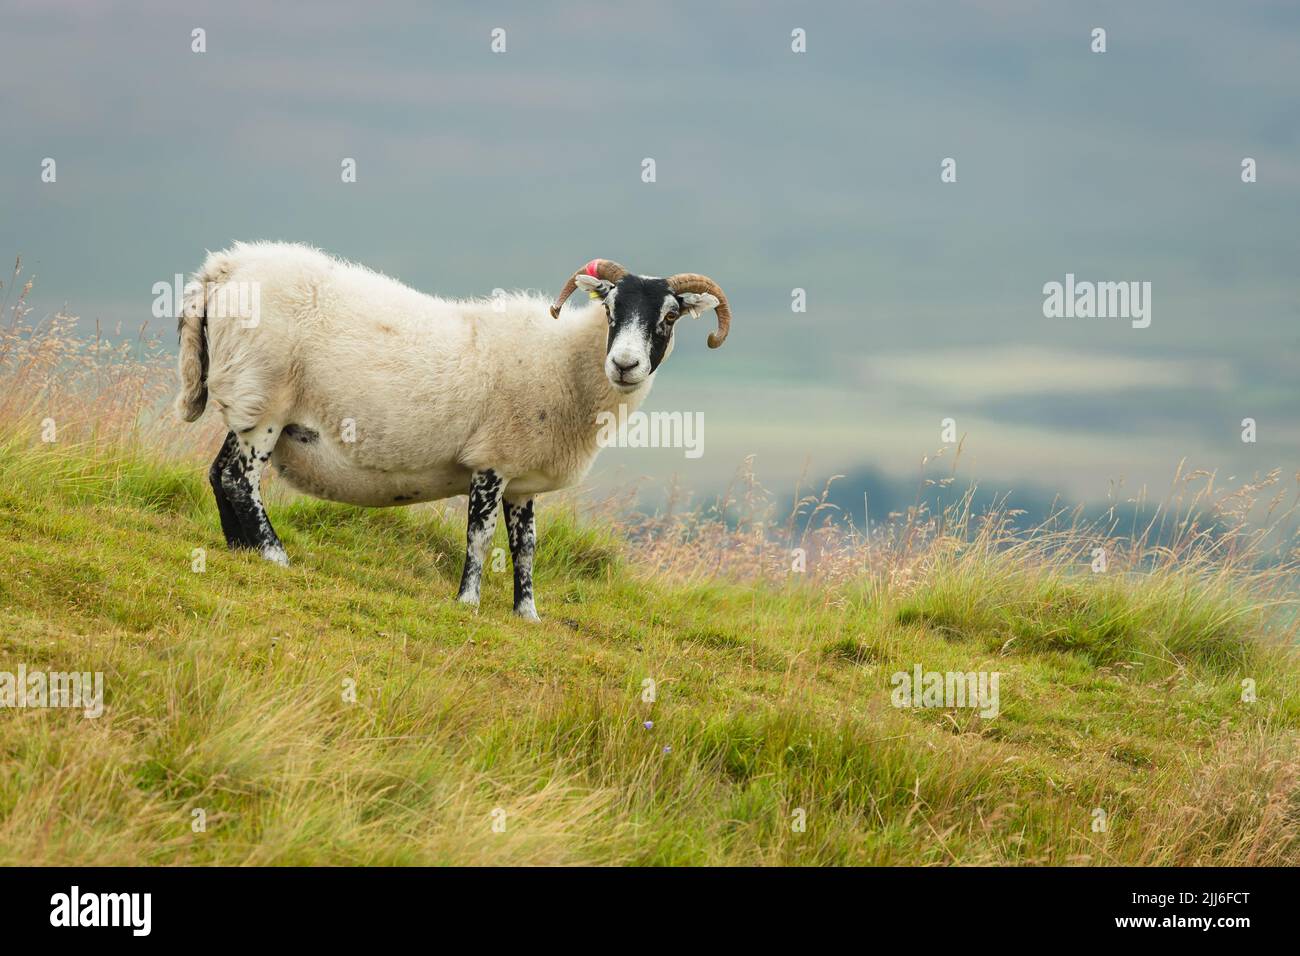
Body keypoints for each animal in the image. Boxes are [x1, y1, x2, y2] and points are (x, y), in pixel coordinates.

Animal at [175, 240, 733, 621]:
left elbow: (526, 547)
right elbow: (480, 538)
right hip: (262, 398)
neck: (567, 362)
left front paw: (527, 614)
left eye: (669, 317)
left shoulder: (522, 480)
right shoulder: (492, 463)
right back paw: (274, 555)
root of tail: (222, 268)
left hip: (249, 402)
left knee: (220, 473)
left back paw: (240, 550)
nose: (625, 364)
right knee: (240, 480)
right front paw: (467, 601)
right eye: (611, 308)